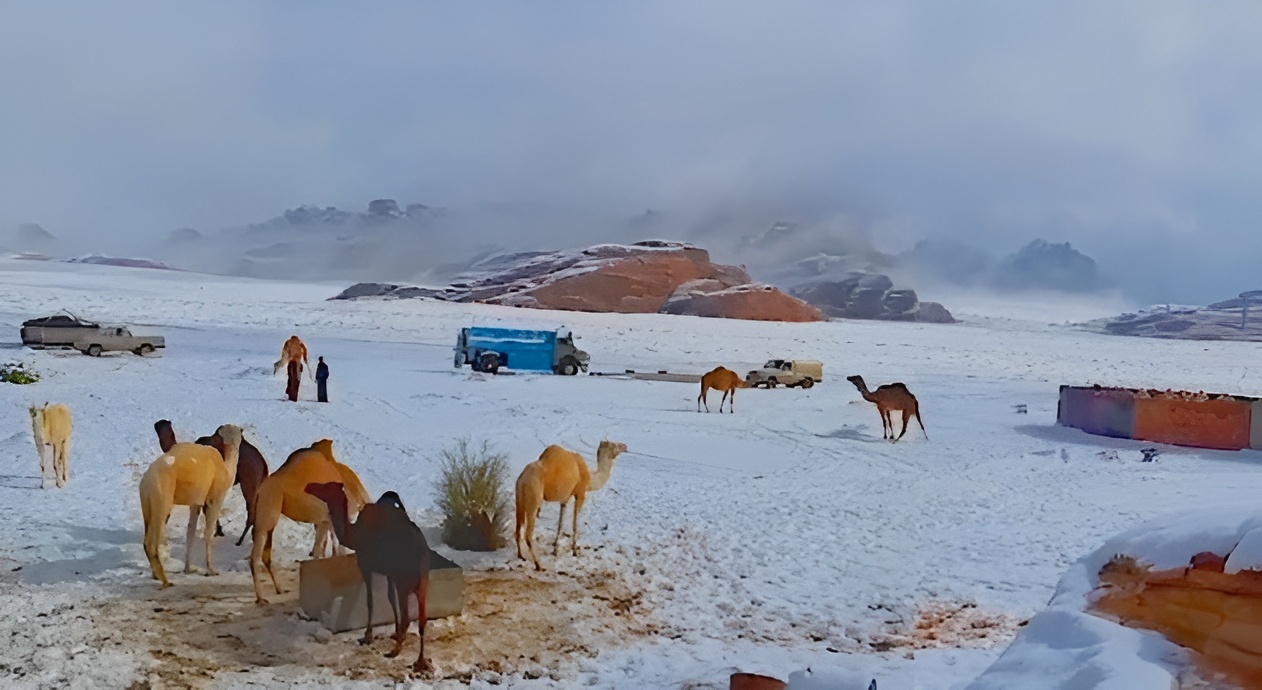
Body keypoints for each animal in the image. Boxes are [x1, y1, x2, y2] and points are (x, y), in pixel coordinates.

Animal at [140, 421, 243, 587]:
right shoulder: (215, 497)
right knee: (152, 538)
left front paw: (189, 569)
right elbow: (208, 532)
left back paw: (157, 575)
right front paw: (211, 570)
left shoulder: (196, 502)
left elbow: (190, 531)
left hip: (146, 501)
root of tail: (148, 479)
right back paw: (165, 580)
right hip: (162, 497)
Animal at [249, 436, 368, 605]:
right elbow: (322, 551)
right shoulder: (326, 518)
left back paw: (279, 589)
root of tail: (261, 490)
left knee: (265, 555)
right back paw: (261, 598)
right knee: (256, 555)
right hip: (268, 512)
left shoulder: (325, 520)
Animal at [305, 484, 434, 671]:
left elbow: (370, 599)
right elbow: (390, 597)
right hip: (423, 580)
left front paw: (367, 636)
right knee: (422, 619)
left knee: (408, 617)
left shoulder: (365, 564)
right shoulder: (389, 572)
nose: (308, 486)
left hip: (404, 580)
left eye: (325, 486)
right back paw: (420, 660)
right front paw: (395, 633)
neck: (352, 534)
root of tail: (420, 552)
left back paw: (395, 651)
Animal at [514, 444, 628, 572]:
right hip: (534, 497)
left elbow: (560, 523)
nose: (625, 446)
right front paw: (574, 551)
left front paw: (555, 548)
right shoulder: (580, 493)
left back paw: (521, 555)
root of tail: (523, 479)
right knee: (528, 534)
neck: (590, 477)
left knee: (518, 528)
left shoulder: (565, 498)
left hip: (519, 498)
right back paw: (538, 564)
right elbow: (574, 524)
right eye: (616, 445)